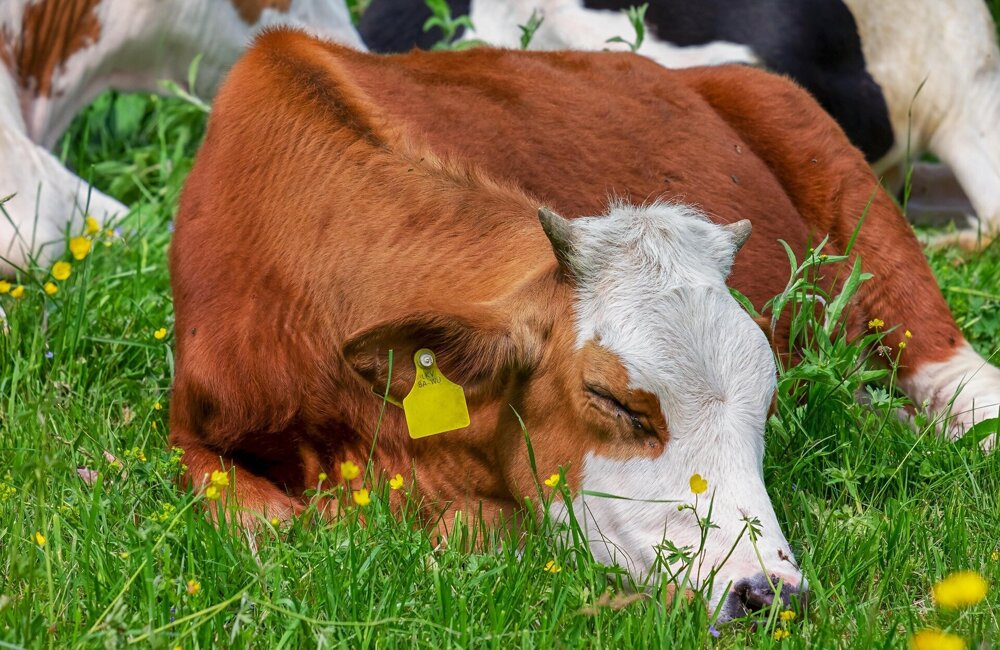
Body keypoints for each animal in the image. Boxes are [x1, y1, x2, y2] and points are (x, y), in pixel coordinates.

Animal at [170, 30, 1000, 622]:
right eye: (614, 402)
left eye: (765, 405)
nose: (768, 593)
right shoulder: (188, 430)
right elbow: (264, 525)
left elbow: (470, 530)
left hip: (860, 200)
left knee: (963, 383)